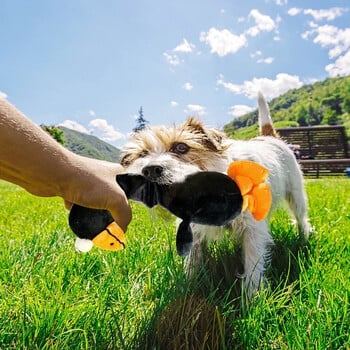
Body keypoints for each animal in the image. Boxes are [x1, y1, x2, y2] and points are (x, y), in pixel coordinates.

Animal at [119, 93, 308, 296]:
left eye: (181, 147)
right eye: (142, 153)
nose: (150, 170)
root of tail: (268, 137)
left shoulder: (252, 229)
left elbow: (253, 264)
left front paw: (252, 296)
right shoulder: (193, 229)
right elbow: (192, 261)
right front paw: (188, 286)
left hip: (296, 195)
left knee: (301, 218)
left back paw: (303, 238)